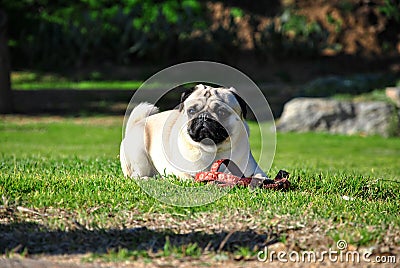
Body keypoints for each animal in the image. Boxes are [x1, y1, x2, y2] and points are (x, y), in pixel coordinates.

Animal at [120, 84, 268, 180]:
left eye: (222, 112)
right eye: (191, 111)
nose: (204, 117)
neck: (212, 151)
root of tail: (136, 124)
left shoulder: (253, 169)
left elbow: (260, 176)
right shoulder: (180, 170)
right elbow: (189, 178)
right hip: (140, 158)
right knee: (135, 176)